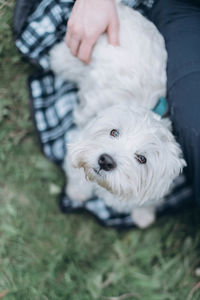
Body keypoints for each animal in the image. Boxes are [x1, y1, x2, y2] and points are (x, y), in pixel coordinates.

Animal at [50, 0, 186, 227]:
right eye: (114, 132)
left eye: (142, 158)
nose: (105, 161)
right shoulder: (77, 141)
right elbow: (77, 175)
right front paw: (77, 192)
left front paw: (143, 214)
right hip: (71, 58)